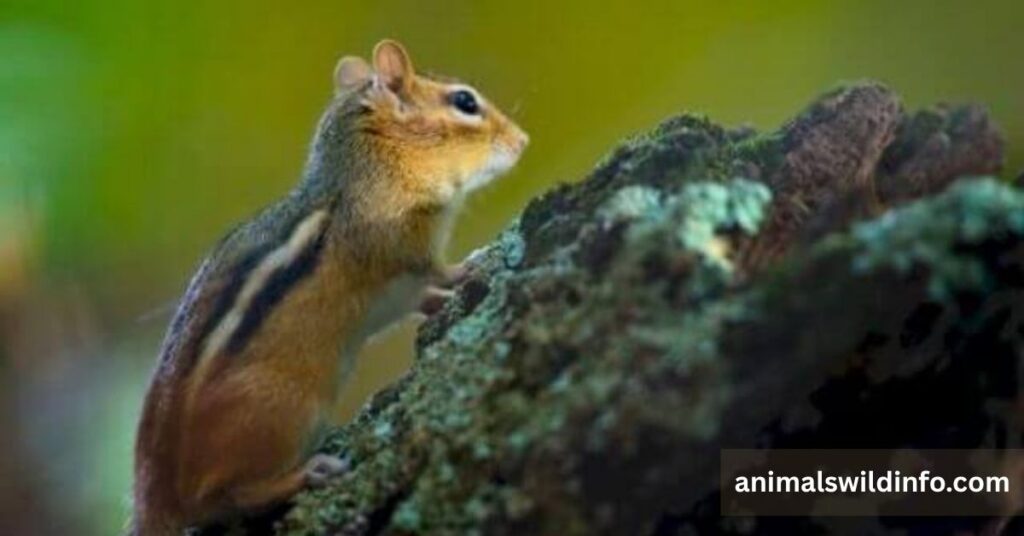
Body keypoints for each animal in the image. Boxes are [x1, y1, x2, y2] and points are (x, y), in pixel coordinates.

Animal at [131, 39, 528, 535]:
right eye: (465, 102)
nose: (522, 141)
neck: (374, 162)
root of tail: (157, 495)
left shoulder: (394, 290)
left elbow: (414, 296)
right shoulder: (400, 242)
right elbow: (433, 269)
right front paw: (469, 268)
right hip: (287, 410)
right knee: (225, 496)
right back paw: (307, 473)